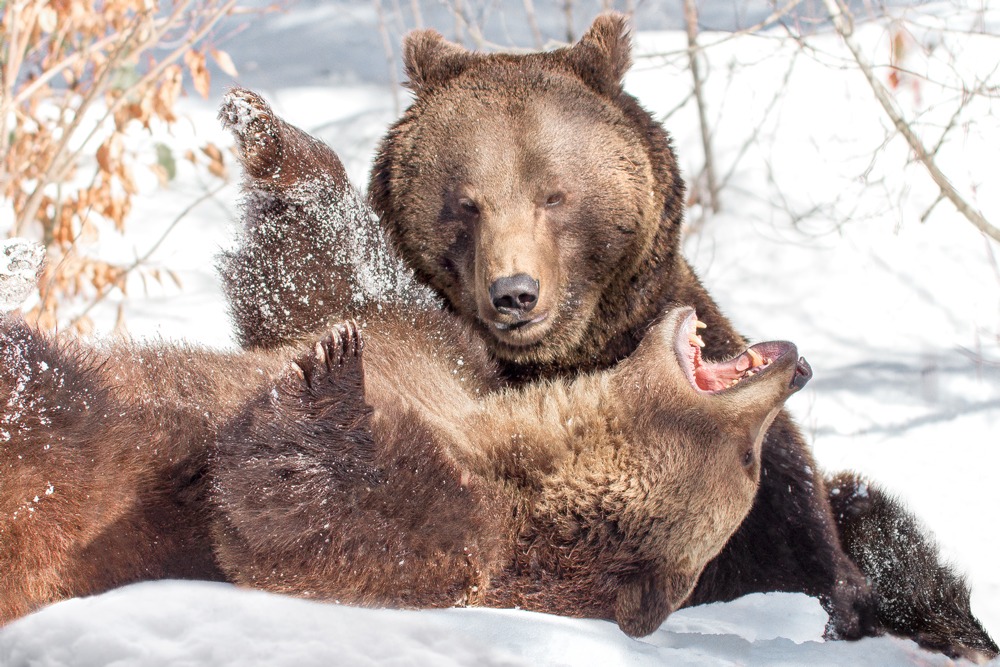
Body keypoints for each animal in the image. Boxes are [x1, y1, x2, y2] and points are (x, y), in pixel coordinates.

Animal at [211, 305, 813, 638]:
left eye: (749, 460)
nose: (800, 367)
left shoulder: (471, 538)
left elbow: (311, 532)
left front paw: (333, 372)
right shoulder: (453, 385)